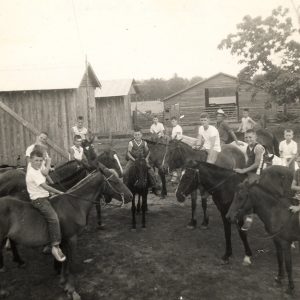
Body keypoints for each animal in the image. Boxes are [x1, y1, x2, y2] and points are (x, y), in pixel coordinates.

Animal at [0, 165, 132, 298]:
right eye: (115, 181)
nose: (130, 196)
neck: (74, 204)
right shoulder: (72, 238)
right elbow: (71, 264)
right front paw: (72, 290)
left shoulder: (63, 239)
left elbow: (65, 262)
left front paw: (63, 282)